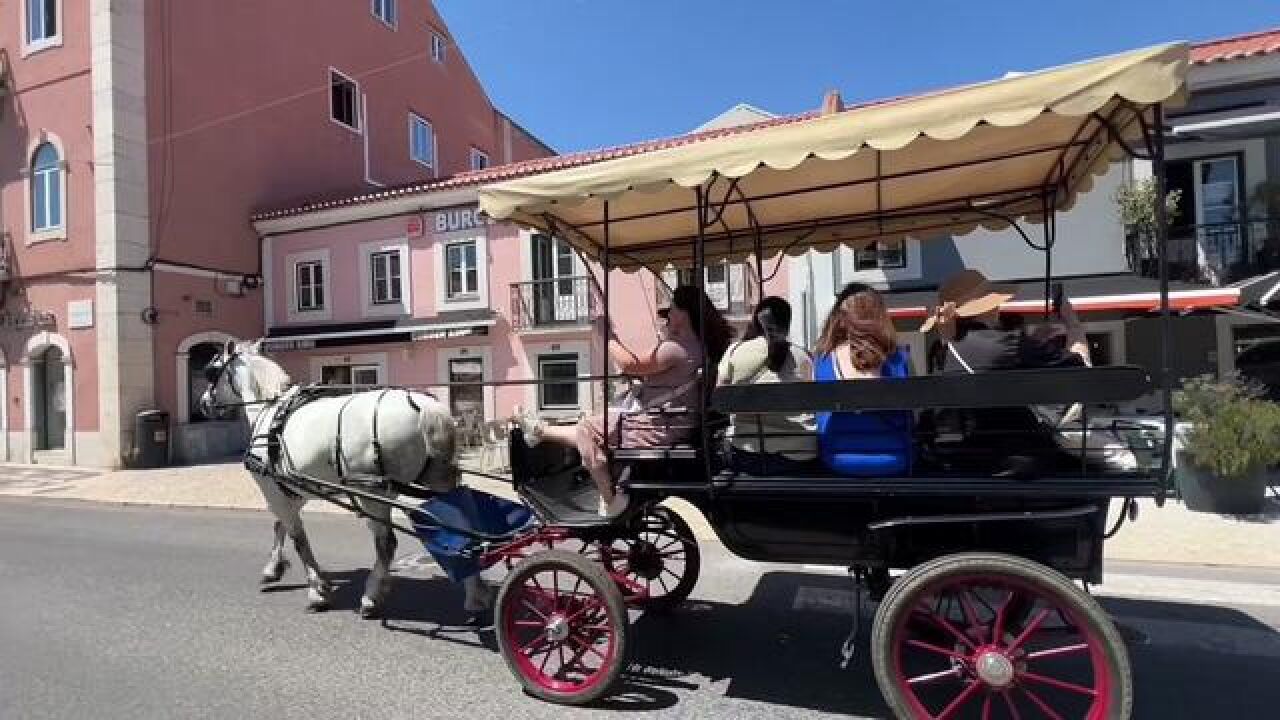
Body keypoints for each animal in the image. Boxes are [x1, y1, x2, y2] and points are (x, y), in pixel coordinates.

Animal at [198, 340, 494, 617]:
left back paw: (372, 596)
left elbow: (298, 538)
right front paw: (273, 569)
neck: (270, 410)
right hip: (437, 482)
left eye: (211, 370)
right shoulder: (296, 489)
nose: (202, 404)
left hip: (373, 494)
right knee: (461, 528)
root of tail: (424, 405)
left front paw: (317, 590)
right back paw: (475, 594)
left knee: (386, 543)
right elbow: (280, 527)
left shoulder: (272, 488)